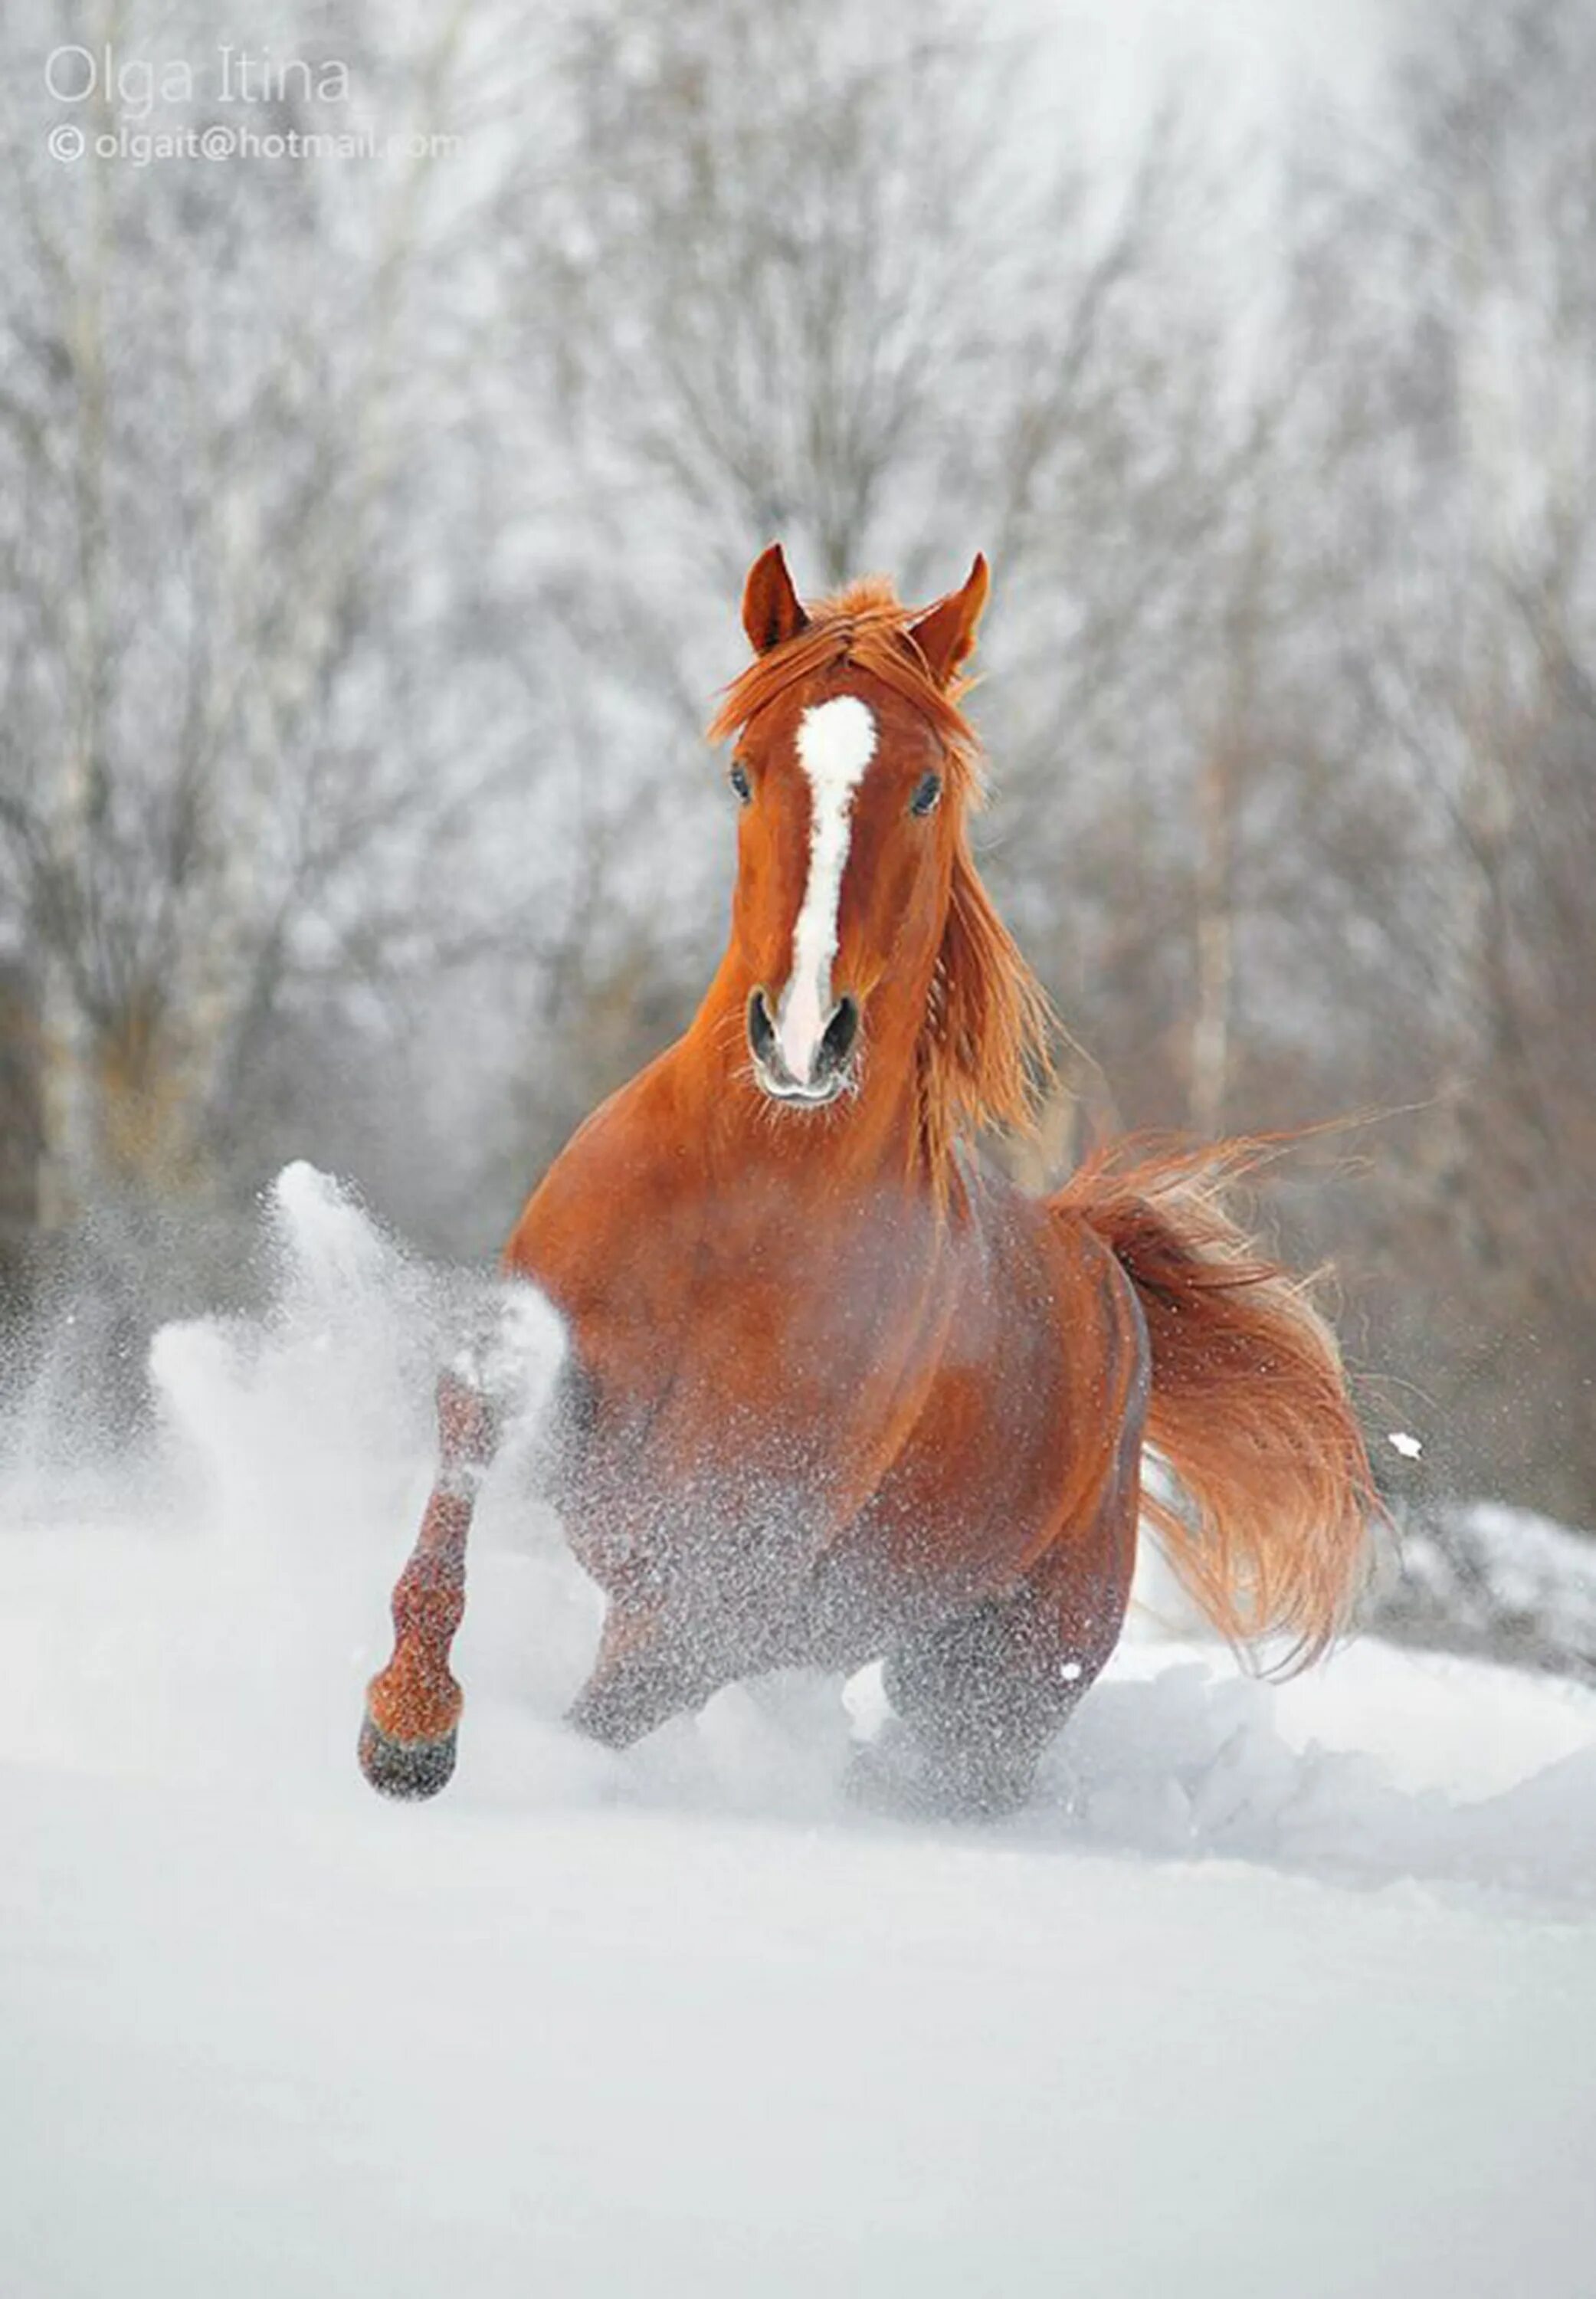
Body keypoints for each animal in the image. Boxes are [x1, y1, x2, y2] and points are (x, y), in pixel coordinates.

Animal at [359, 543, 1379, 1812]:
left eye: (925, 786)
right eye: (742, 775)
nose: (800, 1038)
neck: (742, 1205)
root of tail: (1106, 1275)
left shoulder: (718, 1582)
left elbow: (602, 1712)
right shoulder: (552, 1387)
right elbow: (465, 1448)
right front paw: (406, 1730)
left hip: (985, 1699)